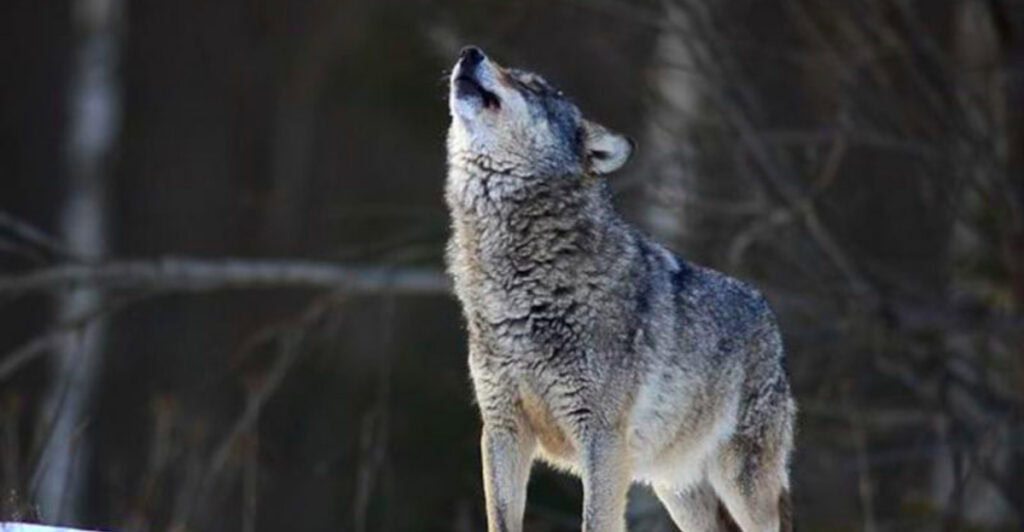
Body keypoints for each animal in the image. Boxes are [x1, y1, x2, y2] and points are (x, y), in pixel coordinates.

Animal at [444, 46, 796, 532]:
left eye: (533, 85)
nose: (469, 52)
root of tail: (768, 315)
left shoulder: (602, 438)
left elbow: (596, 520)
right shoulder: (501, 429)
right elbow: (500, 518)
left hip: (742, 484)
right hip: (679, 490)